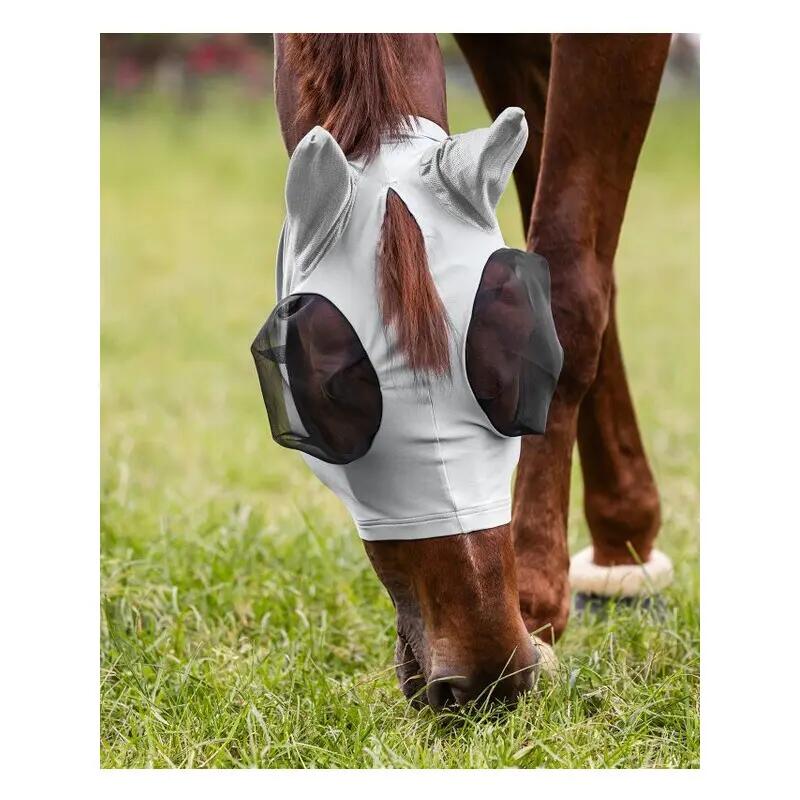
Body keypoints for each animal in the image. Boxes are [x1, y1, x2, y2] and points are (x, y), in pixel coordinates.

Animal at [268, 33, 672, 709]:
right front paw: (616, 541)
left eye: (519, 361)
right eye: (330, 394)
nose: (488, 675)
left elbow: (572, 280)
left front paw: (538, 593)